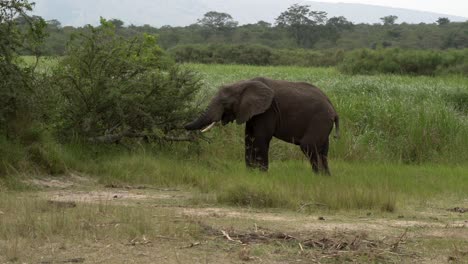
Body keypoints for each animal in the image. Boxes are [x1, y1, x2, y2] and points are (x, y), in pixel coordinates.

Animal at [184, 76, 340, 175]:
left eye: (224, 103)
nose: (184, 126)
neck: (245, 83)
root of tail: (333, 108)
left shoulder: (267, 110)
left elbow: (261, 138)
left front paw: (262, 173)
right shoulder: (252, 112)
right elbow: (249, 138)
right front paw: (250, 172)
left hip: (320, 119)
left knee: (308, 146)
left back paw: (317, 176)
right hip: (323, 124)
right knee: (323, 150)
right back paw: (326, 177)